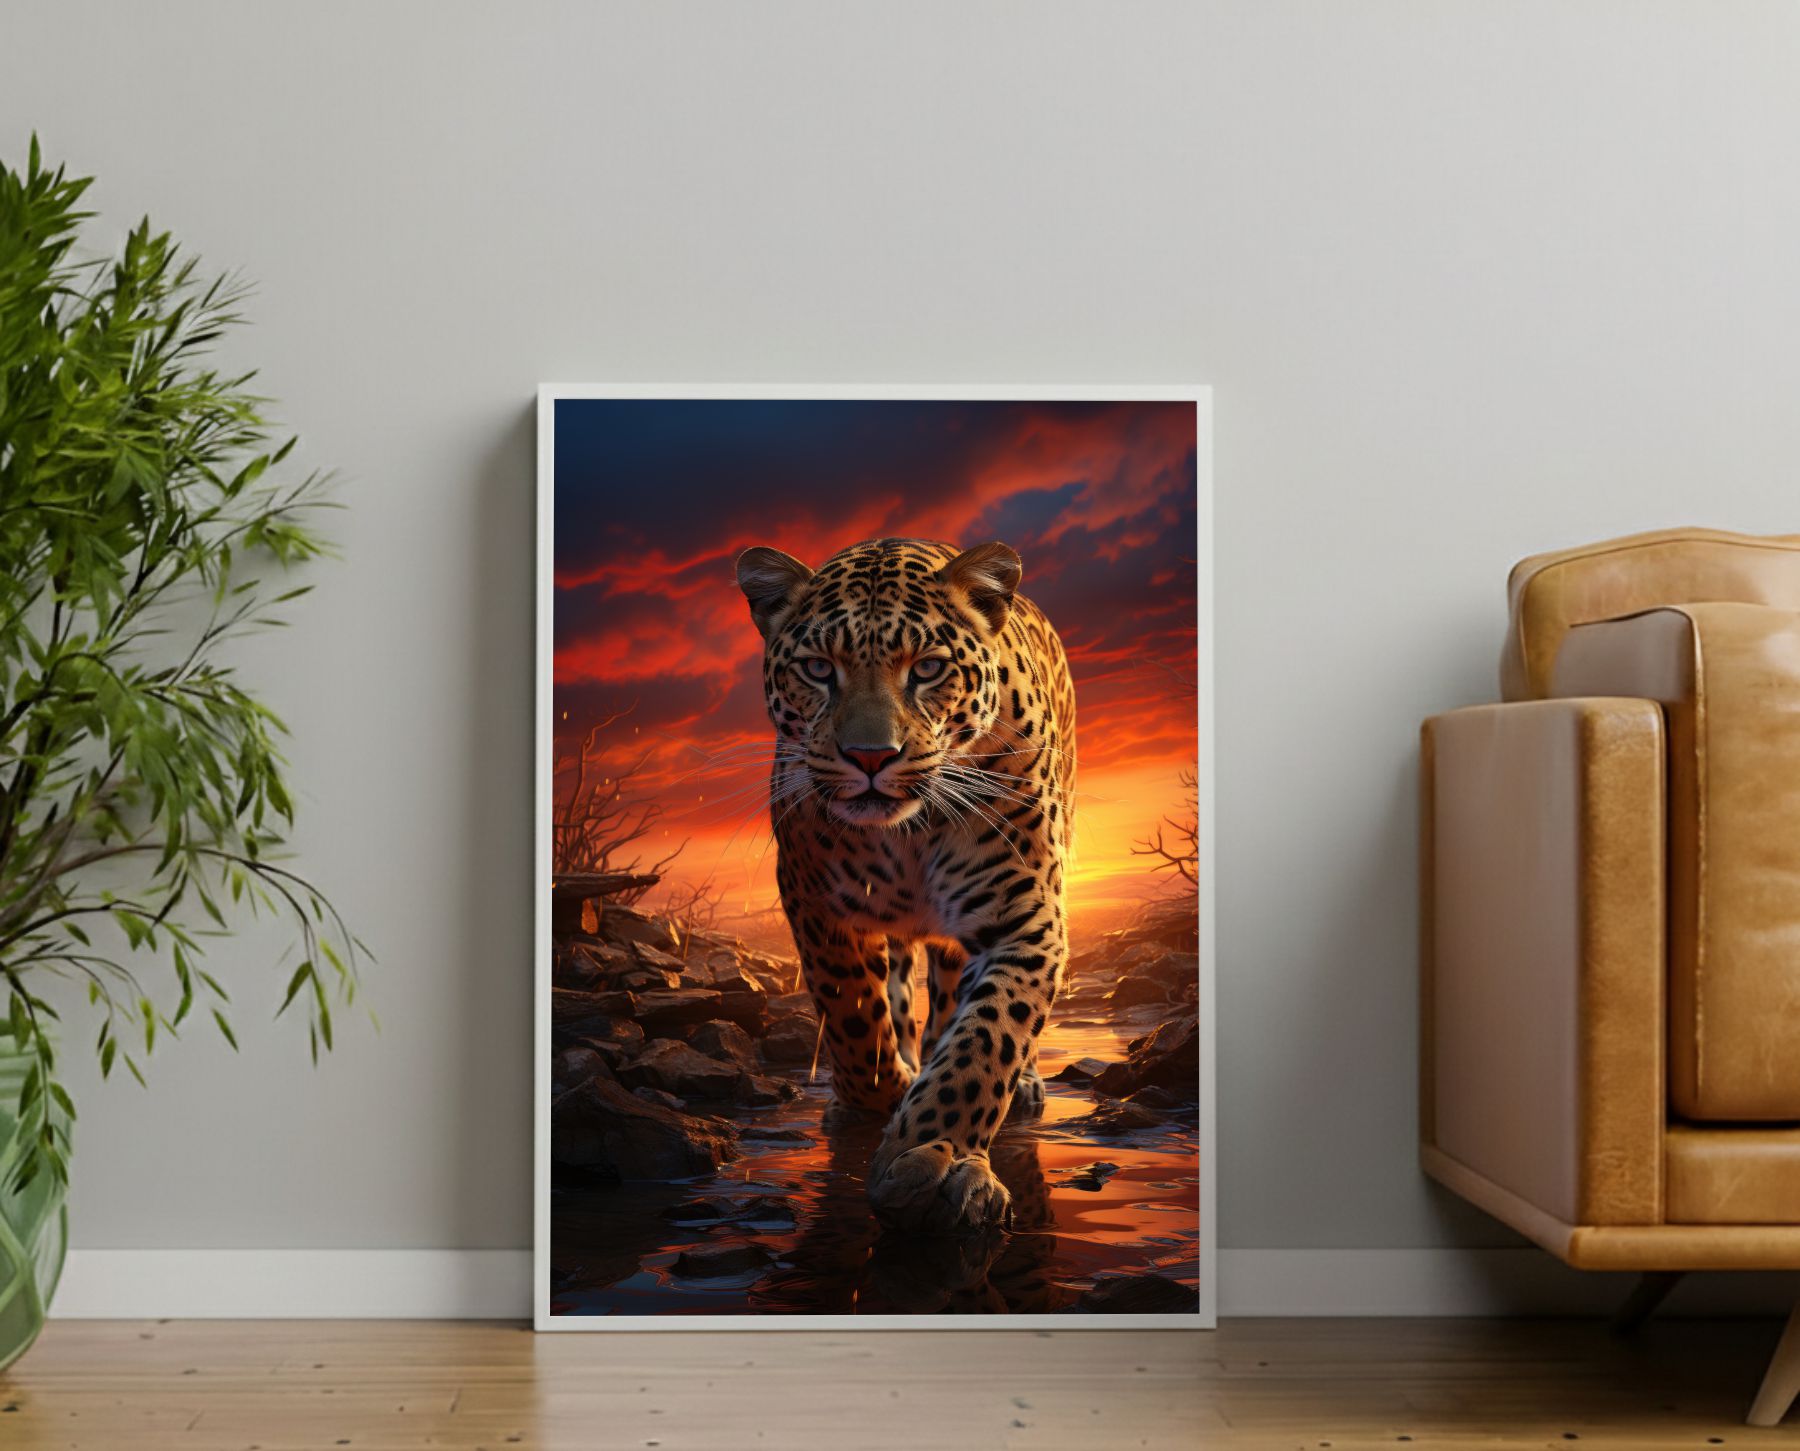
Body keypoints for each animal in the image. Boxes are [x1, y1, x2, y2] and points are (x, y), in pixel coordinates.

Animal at [735, 535, 1076, 1236]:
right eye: (817, 669)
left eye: (928, 668)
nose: (871, 756)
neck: (911, 834)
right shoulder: (816, 904)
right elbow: (853, 1018)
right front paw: (880, 1100)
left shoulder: (1024, 916)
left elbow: (987, 1039)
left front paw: (931, 1155)